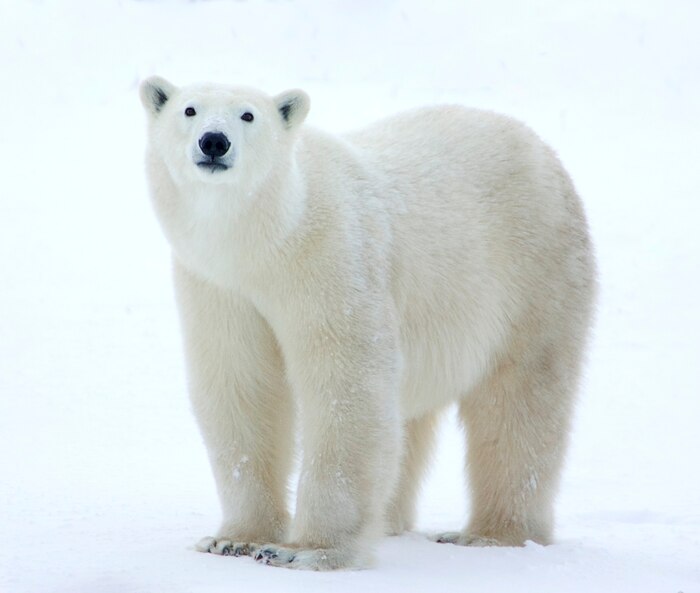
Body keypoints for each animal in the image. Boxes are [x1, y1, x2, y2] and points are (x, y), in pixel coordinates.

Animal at [139, 76, 596, 571]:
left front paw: (306, 550)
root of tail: (539, 148)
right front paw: (234, 540)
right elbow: (241, 385)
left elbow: (345, 385)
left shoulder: (331, 257)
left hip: (532, 271)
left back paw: (489, 534)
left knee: (520, 401)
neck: (268, 240)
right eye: (189, 109)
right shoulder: (219, 286)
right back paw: (393, 521)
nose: (214, 141)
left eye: (248, 115)